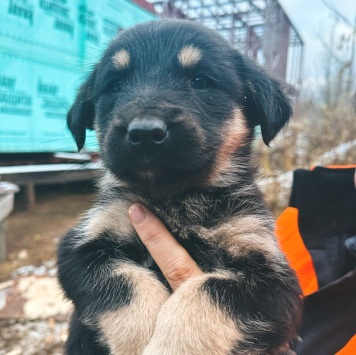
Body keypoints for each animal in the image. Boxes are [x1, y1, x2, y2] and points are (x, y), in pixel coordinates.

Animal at [57, 20, 302, 355]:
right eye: (115, 86)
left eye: (200, 81)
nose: (145, 133)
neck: (176, 199)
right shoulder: (80, 246)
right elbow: (125, 283)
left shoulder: (274, 281)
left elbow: (207, 292)